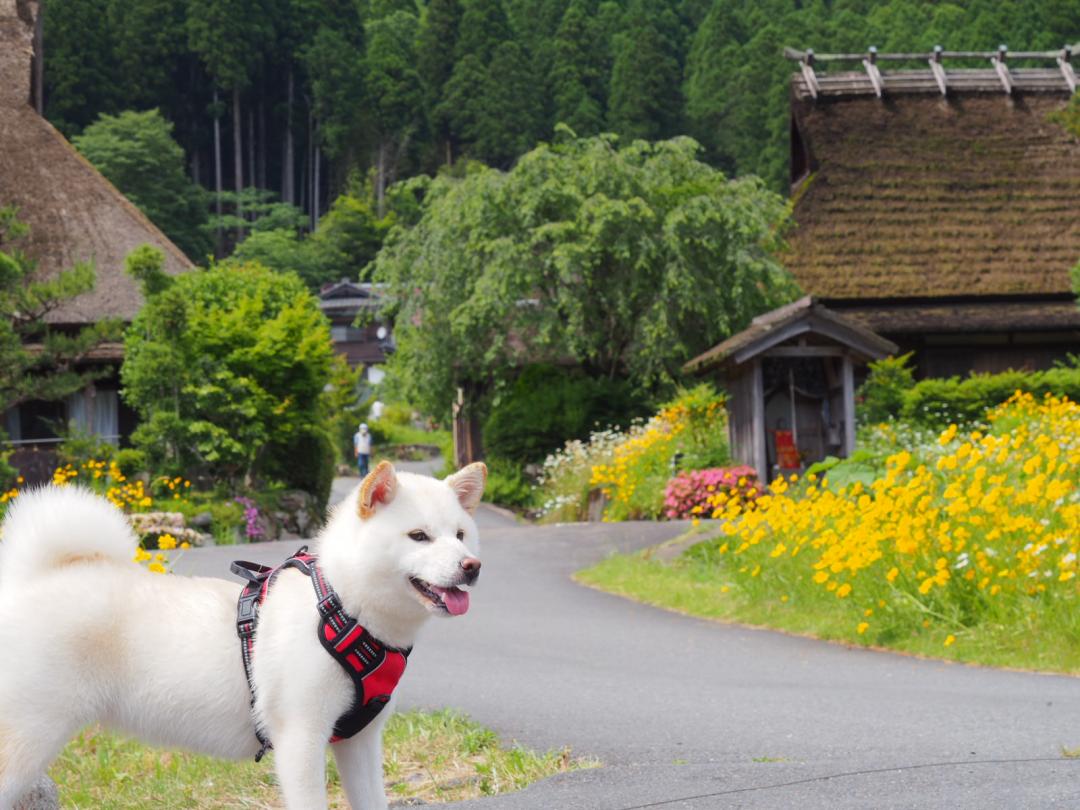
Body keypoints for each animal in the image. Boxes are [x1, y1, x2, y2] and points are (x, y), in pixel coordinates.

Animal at [0, 460, 486, 807]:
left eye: (461, 535)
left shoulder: (360, 743)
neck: (343, 610)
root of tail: (29, 580)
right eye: (419, 536)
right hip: (25, 740)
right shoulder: (301, 740)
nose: (471, 566)